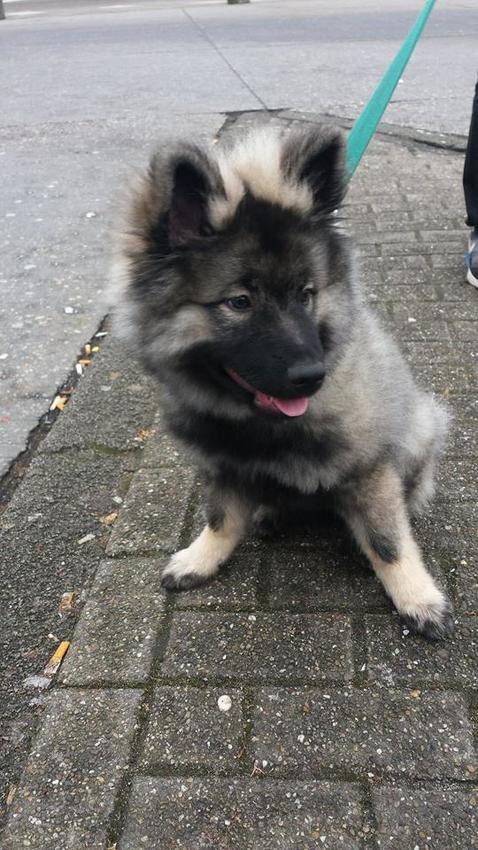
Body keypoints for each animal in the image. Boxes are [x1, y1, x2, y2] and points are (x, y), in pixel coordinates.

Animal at [111, 124, 453, 640]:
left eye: (305, 294)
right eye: (239, 302)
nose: (312, 376)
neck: (258, 420)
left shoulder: (369, 467)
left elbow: (387, 540)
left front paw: (416, 597)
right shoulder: (225, 465)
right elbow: (220, 518)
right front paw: (201, 557)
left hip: (421, 428)